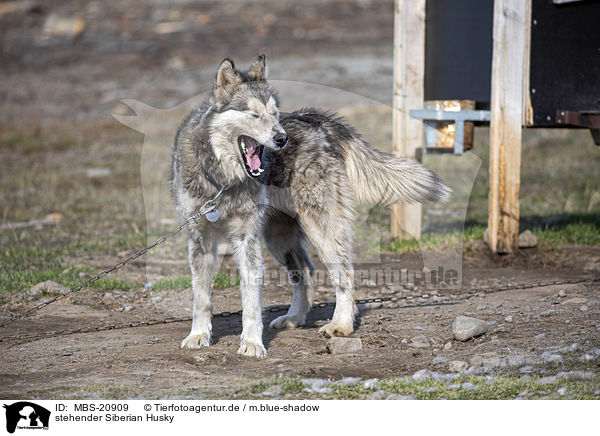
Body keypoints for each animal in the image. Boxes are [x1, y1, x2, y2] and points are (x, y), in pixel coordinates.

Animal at [170, 54, 450, 358]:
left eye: (274, 113)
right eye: (254, 115)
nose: (282, 139)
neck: (222, 179)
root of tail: (316, 120)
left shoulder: (247, 239)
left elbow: (251, 302)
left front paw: (252, 343)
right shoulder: (200, 239)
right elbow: (202, 298)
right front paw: (198, 335)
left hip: (319, 228)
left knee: (344, 274)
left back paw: (341, 325)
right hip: (278, 238)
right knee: (305, 272)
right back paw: (295, 317)